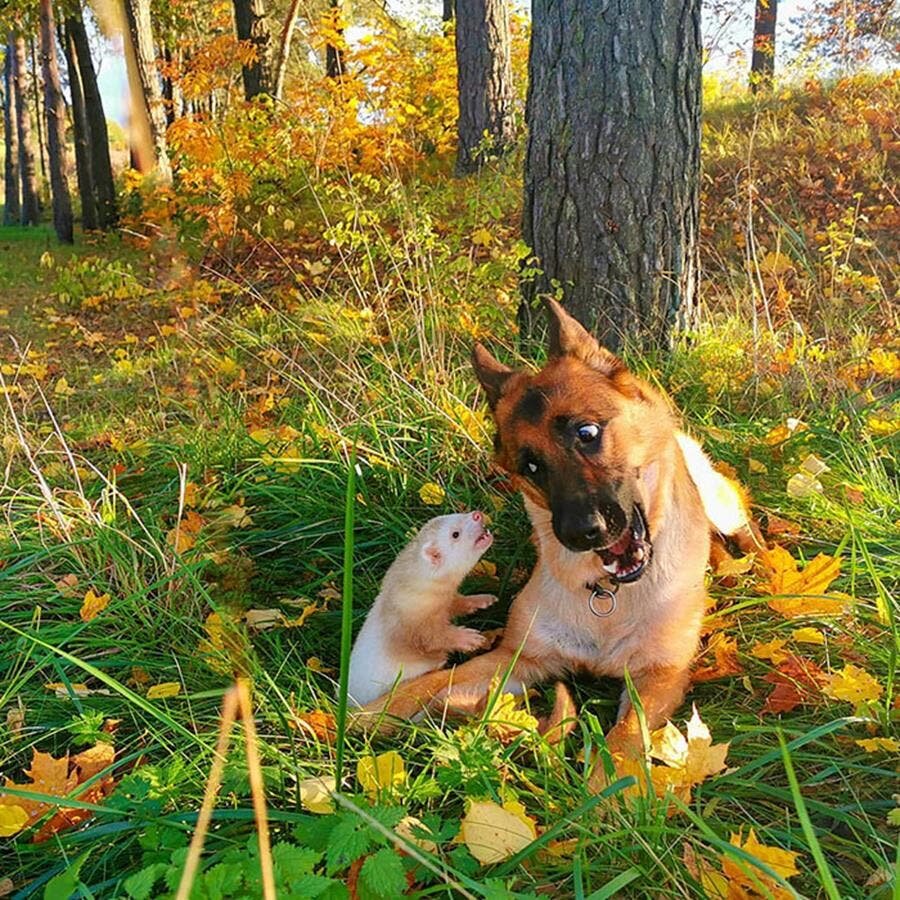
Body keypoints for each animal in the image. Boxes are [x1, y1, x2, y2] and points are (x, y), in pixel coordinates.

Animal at [362, 298, 748, 768]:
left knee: (745, 525)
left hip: (720, 503)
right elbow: (428, 684)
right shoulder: (518, 658)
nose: (584, 533)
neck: (607, 596)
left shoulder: (657, 679)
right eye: (530, 467)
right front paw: (355, 716)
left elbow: (622, 745)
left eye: (587, 432)